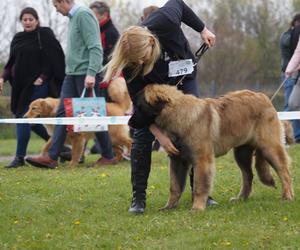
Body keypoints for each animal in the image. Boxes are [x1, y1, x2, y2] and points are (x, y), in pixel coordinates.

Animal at [138, 84, 292, 211]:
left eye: (140, 107)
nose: (133, 123)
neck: (180, 115)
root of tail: (263, 96)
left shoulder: (202, 161)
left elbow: (199, 185)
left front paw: (197, 208)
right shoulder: (177, 160)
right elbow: (174, 186)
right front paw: (169, 207)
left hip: (269, 148)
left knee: (284, 172)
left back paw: (287, 197)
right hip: (241, 154)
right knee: (248, 175)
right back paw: (241, 198)